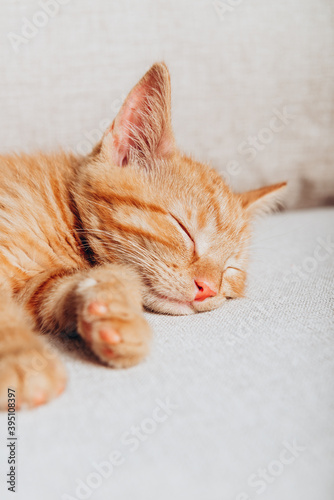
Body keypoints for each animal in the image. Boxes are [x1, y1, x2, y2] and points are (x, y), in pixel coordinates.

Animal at [0, 62, 286, 408]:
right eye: (184, 229)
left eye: (230, 269)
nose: (207, 289)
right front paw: (20, 356)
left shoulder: (37, 289)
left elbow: (79, 284)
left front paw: (114, 309)